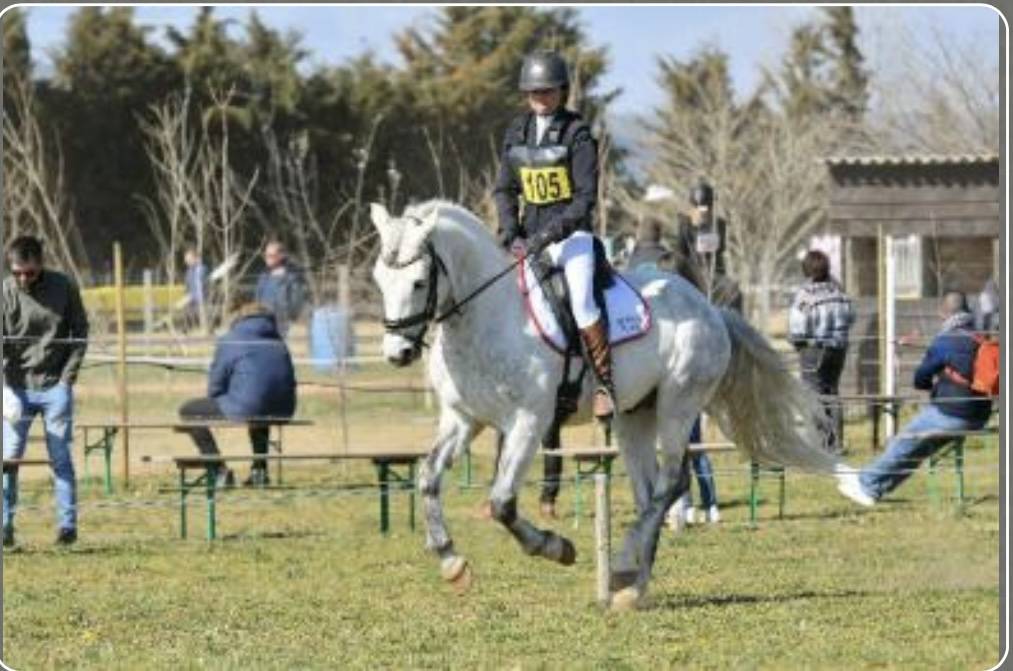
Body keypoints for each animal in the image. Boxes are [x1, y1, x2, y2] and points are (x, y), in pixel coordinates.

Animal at [370, 199, 845, 609]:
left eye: (418, 282)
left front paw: (556, 547)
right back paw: (633, 583)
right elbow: (428, 478)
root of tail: (710, 307)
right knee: (649, 491)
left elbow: (503, 502)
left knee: (671, 482)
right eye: (379, 279)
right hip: (634, 416)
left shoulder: (528, 421)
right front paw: (451, 562)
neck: (483, 319)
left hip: (678, 404)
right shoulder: (463, 419)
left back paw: (621, 570)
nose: (397, 353)